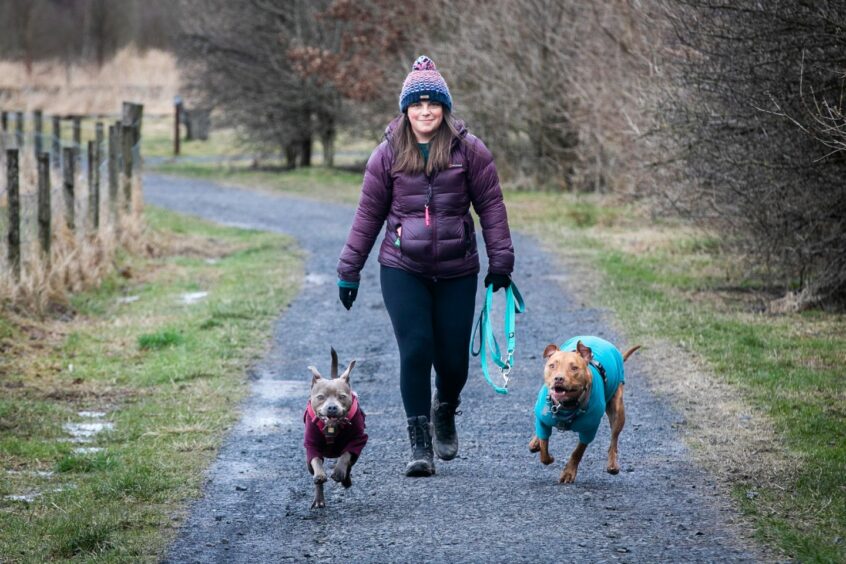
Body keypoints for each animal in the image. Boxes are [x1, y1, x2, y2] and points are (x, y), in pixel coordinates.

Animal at [306, 350, 370, 508]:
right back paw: (319, 499)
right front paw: (320, 474)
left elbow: (346, 455)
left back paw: (345, 480)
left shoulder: (357, 440)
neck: (331, 426)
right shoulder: (311, 445)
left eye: (342, 396)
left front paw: (339, 472)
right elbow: (316, 461)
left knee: (349, 464)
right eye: (320, 397)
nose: (332, 407)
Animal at [528, 338, 640, 482]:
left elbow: (578, 451)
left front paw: (568, 472)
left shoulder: (589, 430)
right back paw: (534, 443)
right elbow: (544, 448)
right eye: (552, 366)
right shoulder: (543, 420)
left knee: (614, 440)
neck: (566, 406)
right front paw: (545, 452)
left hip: (618, 410)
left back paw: (612, 464)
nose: (558, 378)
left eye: (574, 368)